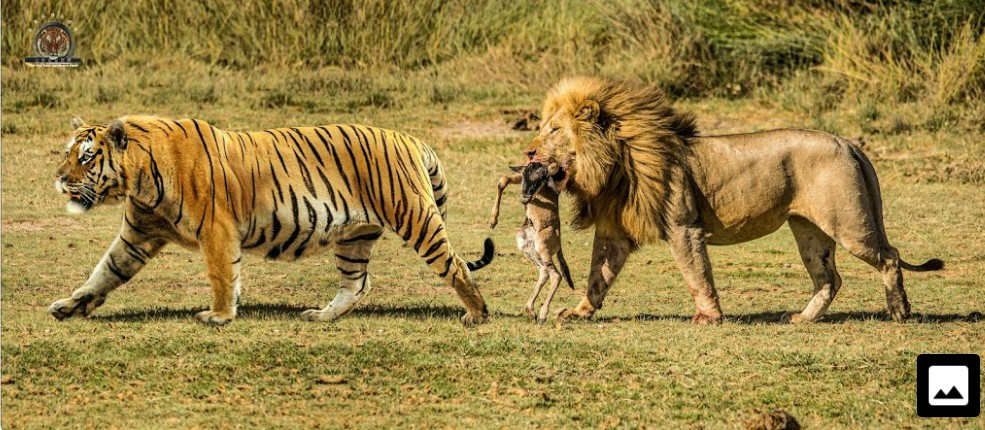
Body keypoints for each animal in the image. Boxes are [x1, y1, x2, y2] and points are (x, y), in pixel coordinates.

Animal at [49, 116, 492, 324]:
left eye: (85, 157)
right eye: (68, 153)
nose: (58, 178)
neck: (138, 178)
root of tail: (412, 139)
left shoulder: (217, 229)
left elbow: (222, 275)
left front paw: (219, 317)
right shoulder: (137, 234)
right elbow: (104, 272)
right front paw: (70, 306)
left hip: (415, 216)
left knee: (454, 265)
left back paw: (476, 315)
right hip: (354, 237)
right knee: (357, 284)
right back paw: (321, 316)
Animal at [528, 78, 940, 326]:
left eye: (554, 129)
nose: (529, 152)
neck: (617, 161)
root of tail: (848, 143)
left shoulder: (683, 227)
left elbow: (697, 274)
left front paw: (709, 317)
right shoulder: (613, 232)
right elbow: (598, 276)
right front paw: (579, 311)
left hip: (848, 222)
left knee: (889, 257)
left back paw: (900, 311)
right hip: (810, 231)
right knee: (829, 278)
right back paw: (803, 319)